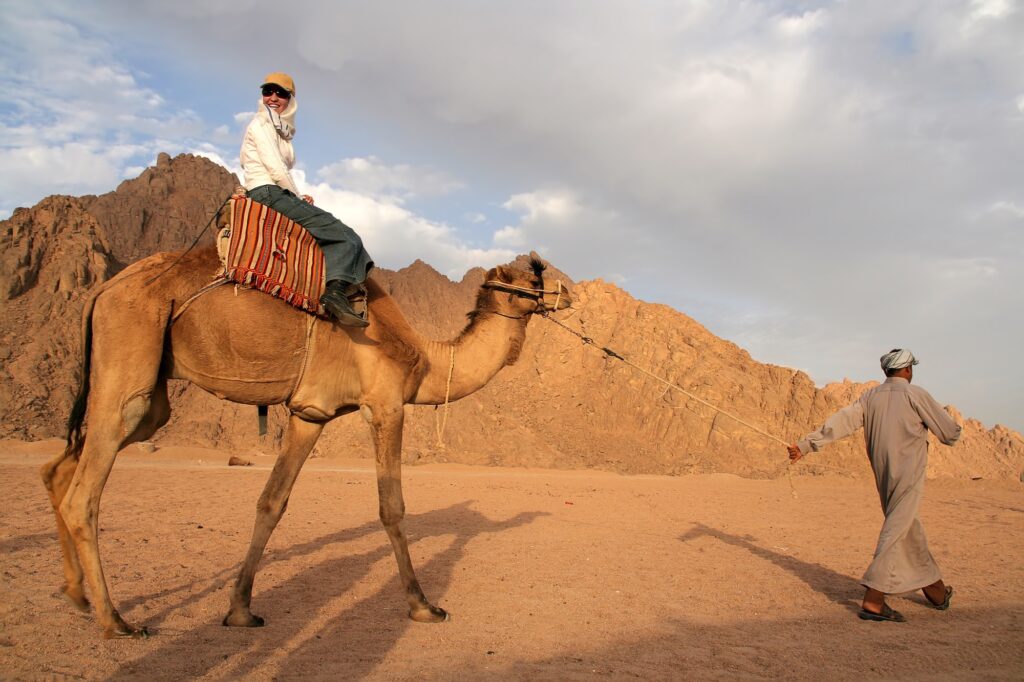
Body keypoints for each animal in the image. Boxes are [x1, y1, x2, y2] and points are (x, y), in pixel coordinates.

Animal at [40, 245, 570, 638]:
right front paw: (424, 606)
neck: (424, 357)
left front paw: (240, 610)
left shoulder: (309, 414)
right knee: (84, 491)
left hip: (150, 393)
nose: (566, 295)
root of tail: (104, 289)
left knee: (61, 468)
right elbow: (392, 507)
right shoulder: (386, 404)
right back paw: (116, 620)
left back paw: (76, 595)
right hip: (131, 350)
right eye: (532, 281)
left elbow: (272, 501)